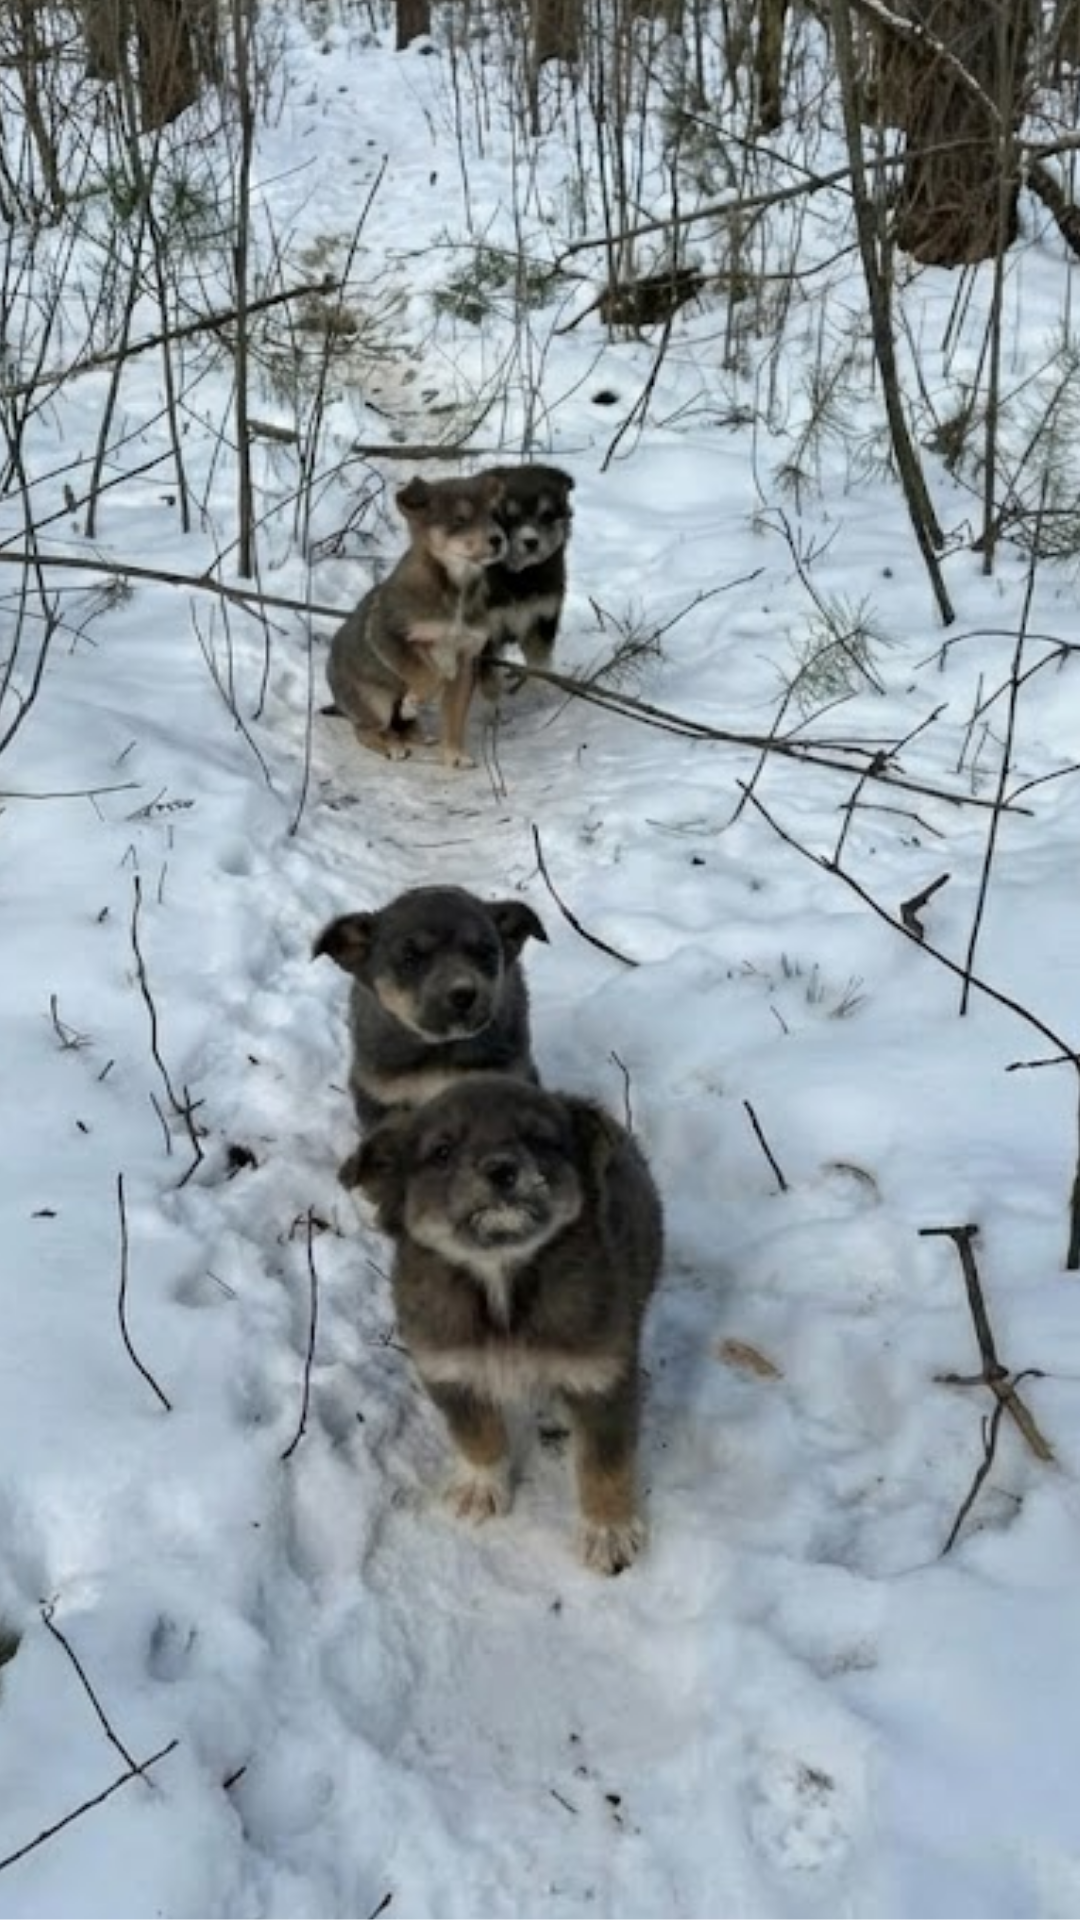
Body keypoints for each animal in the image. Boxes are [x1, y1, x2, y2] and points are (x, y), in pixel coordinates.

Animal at [327, 473, 506, 769]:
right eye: (460, 519)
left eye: (493, 515)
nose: (498, 540)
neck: (456, 591)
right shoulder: (388, 636)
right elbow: (429, 674)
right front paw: (414, 701)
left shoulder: (465, 660)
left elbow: (455, 716)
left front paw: (455, 754)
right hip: (376, 702)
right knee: (367, 730)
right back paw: (392, 745)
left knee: (398, 726)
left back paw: (418, 734)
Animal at [352, 1074, 663, 1575]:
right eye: (442, 1151)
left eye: (538, 1139)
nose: (501, 1170)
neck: (501, 1278)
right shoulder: (449, 1369)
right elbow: (478, 1433)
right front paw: (481, 1488)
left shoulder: (602, 1377)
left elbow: (605, 1462)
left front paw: (608, 1531)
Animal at [478, 464, 574, 699]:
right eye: (508, 518)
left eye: (547, 515)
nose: (531, 542)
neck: (521, 576)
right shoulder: (484, 632)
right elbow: (488, 678)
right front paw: (492, 705)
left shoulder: (542, 617)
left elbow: (539, 663)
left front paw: (543, 692)